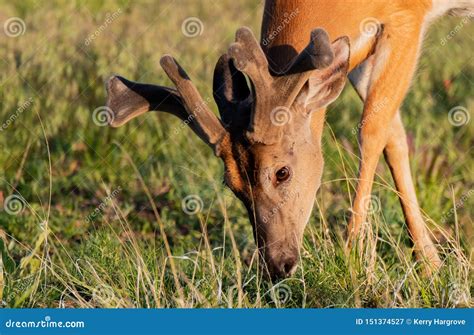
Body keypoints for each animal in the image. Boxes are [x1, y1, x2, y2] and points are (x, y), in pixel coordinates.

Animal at [105, 0, 472, 278]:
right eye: (232, 185)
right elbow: (394, 135)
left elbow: (371, 129)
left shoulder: (407, 17)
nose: (277, 264)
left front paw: (354, 260)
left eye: (282, 172)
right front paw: (433, 266)